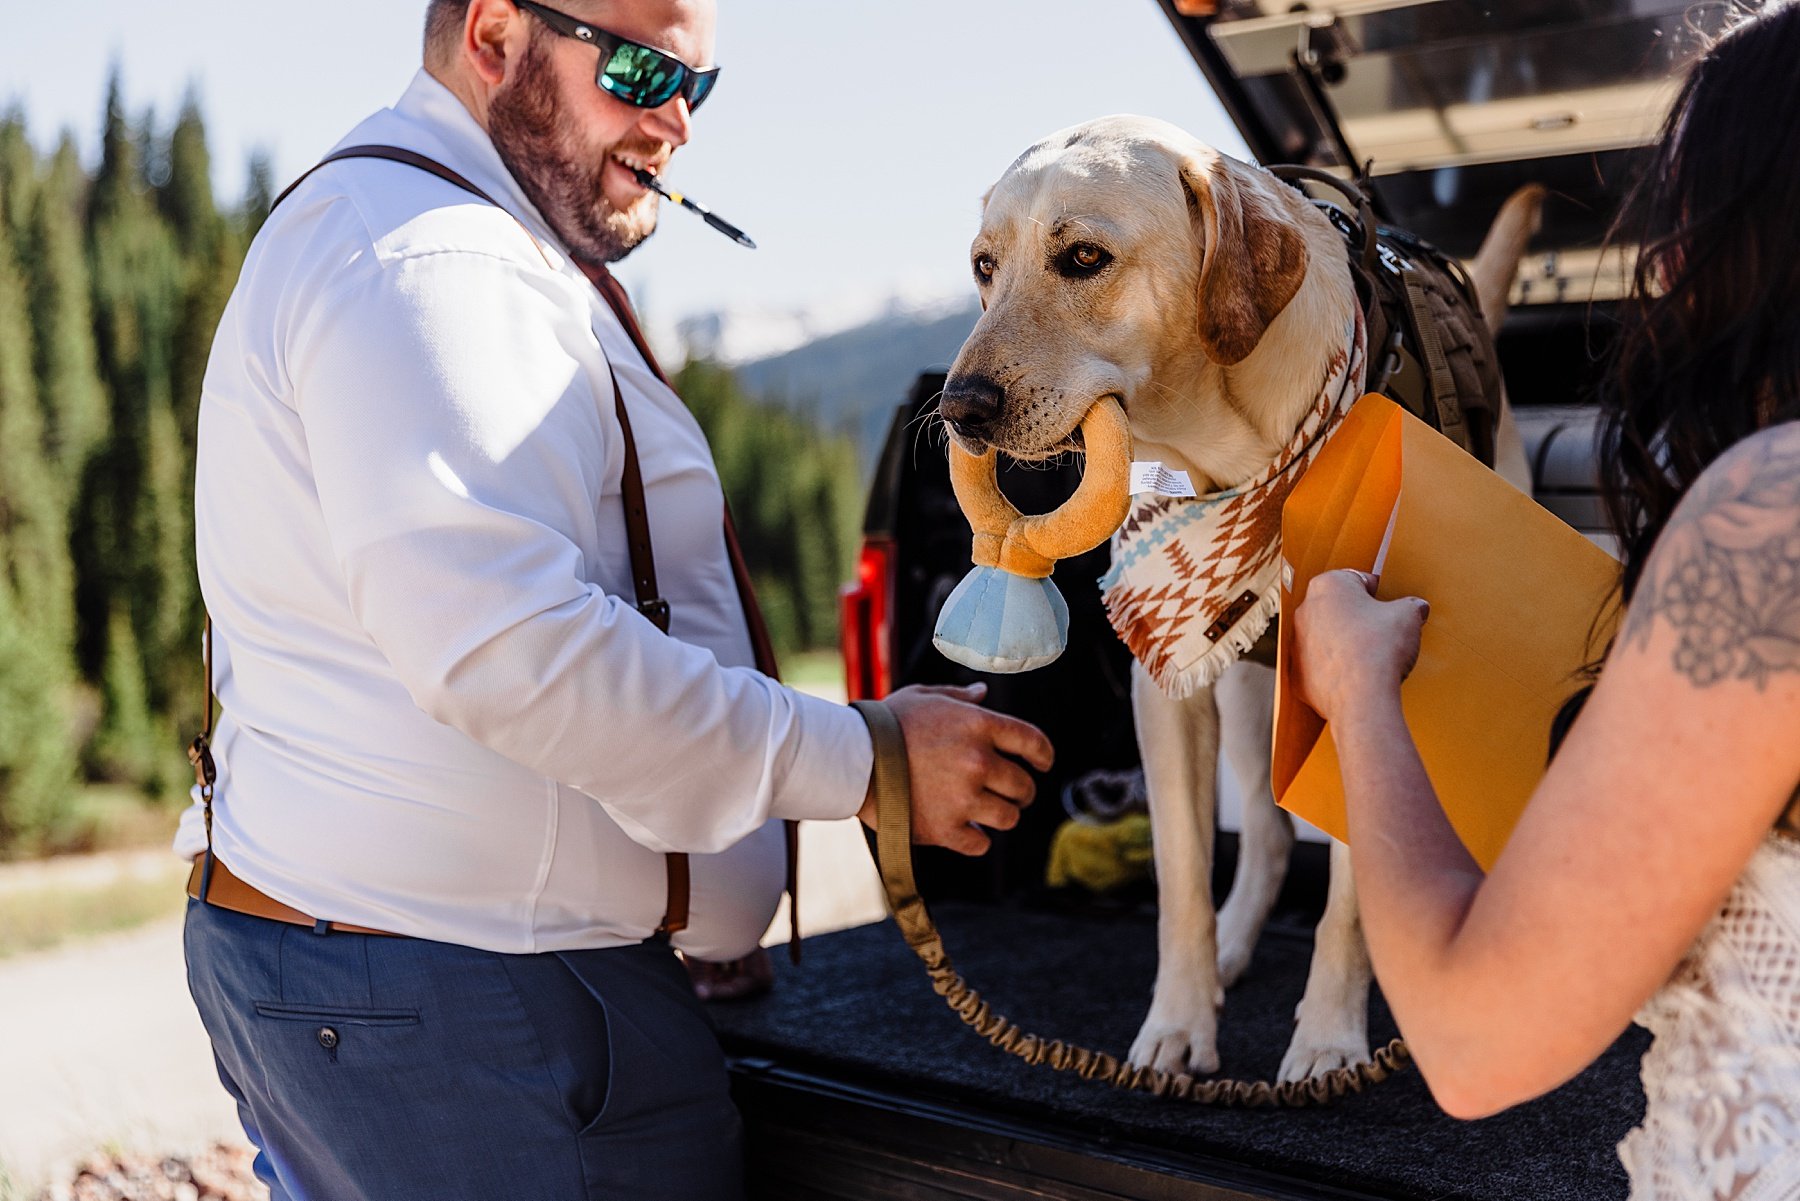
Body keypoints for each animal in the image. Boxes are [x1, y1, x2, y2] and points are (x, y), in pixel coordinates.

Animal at [936, 119, 1540, 1080]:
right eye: (984, 266)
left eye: (1082, 257)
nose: (958, 408)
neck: (1232, 450)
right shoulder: (1166, 693)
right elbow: (1182, 876)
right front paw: (1178, 1023)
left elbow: (1351, 898)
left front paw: (1329, 1037)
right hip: (1249, 688)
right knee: (1262, 829)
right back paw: (1230, 945)